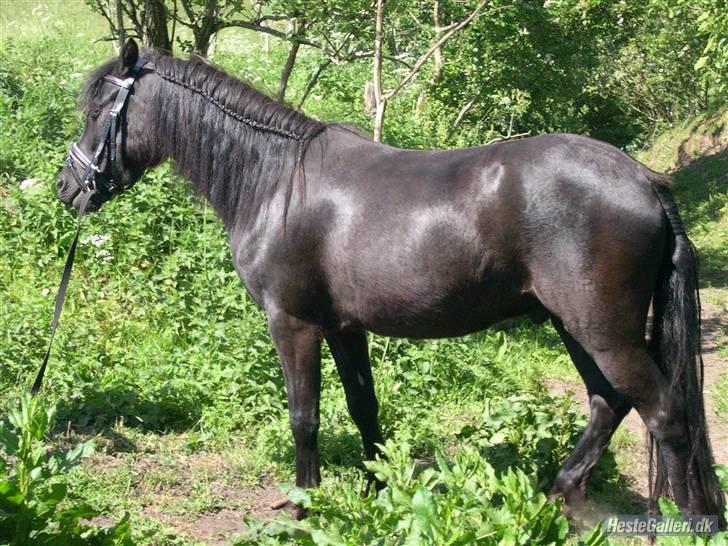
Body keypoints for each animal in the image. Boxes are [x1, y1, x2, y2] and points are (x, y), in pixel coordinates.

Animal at [56, 39, 725, 522]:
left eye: (98, 111)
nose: (68, 188)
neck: (277, 183)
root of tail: (645, 181)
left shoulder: (293, 323)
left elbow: (305, 416)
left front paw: (304, 505)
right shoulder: (344, 326)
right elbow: (363, 407)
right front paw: (382, 492)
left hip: (602, 329)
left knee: (666, 413)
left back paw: (689, 521)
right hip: (575, 326)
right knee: (609, 403)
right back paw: (556, 496)